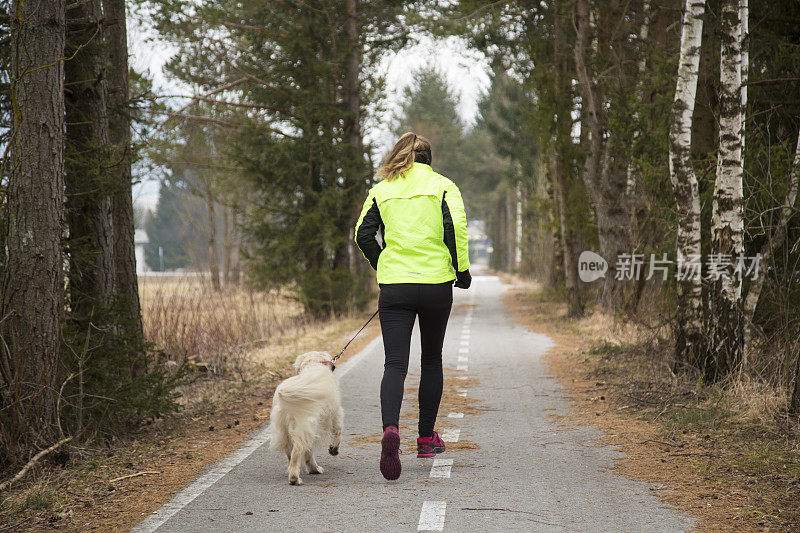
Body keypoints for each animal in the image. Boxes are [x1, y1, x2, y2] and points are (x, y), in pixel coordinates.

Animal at [268, 352, 344, 484]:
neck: (313, 365)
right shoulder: (336, 413)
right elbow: (338, 432)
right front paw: (334, 449)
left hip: (286, 430)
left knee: (292, 453)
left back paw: (310, 470)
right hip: (306, 427)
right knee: (297, 452)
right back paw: (296, 478)